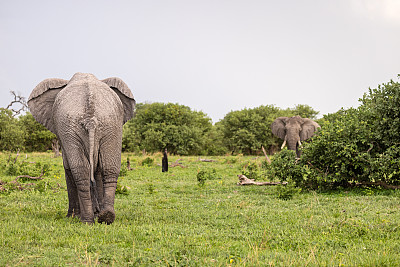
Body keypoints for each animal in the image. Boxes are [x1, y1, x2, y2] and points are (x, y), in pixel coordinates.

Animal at [27, 72, 136, 225]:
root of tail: (91, 119)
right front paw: (97, 214)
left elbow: (68, 166)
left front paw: (72, 216)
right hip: (110, 124)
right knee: (109, 167)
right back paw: (106, 217)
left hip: (73, 127)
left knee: (80, 170)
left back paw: (86, 220)